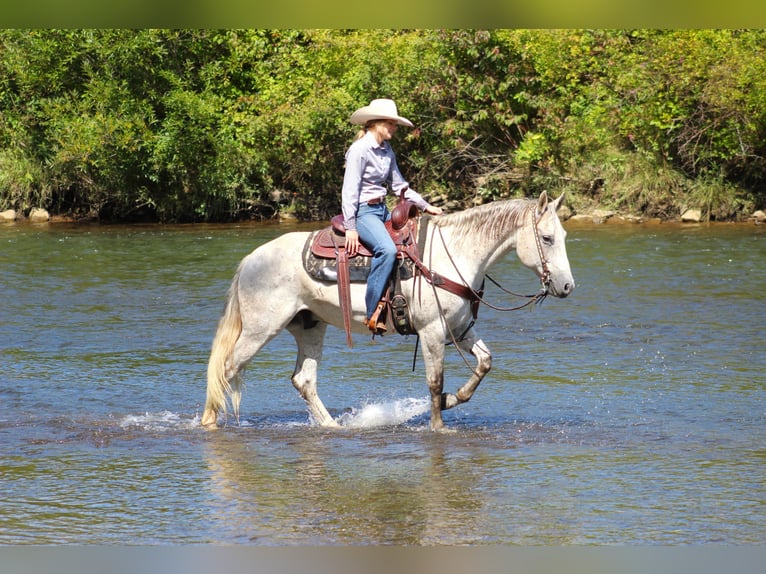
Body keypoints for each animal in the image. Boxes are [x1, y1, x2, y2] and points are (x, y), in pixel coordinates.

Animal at [204, 192, 576, 432]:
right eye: (546, 238)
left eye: (562, 235)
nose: (567, 286)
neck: (455, 254)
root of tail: (250, 260)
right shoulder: (431, 331)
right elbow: (434, 380)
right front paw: (439, 425)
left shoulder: (460, 329)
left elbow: (484, 363)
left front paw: (451, 399)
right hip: (260, 329)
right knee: (226, 368)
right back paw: (209, 422)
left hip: (309, 326)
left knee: (304, 379)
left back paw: (332, 426)